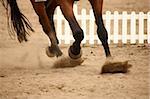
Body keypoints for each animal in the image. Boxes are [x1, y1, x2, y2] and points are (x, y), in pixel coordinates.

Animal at [0, 0, 130, 72]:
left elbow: (102, 31)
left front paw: (110, 61)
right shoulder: (64, 2)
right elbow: (78, 32)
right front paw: (74, 52)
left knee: (48, 16)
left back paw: (53, 49)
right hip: (37, 3)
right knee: (46, 24)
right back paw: (60, 56)